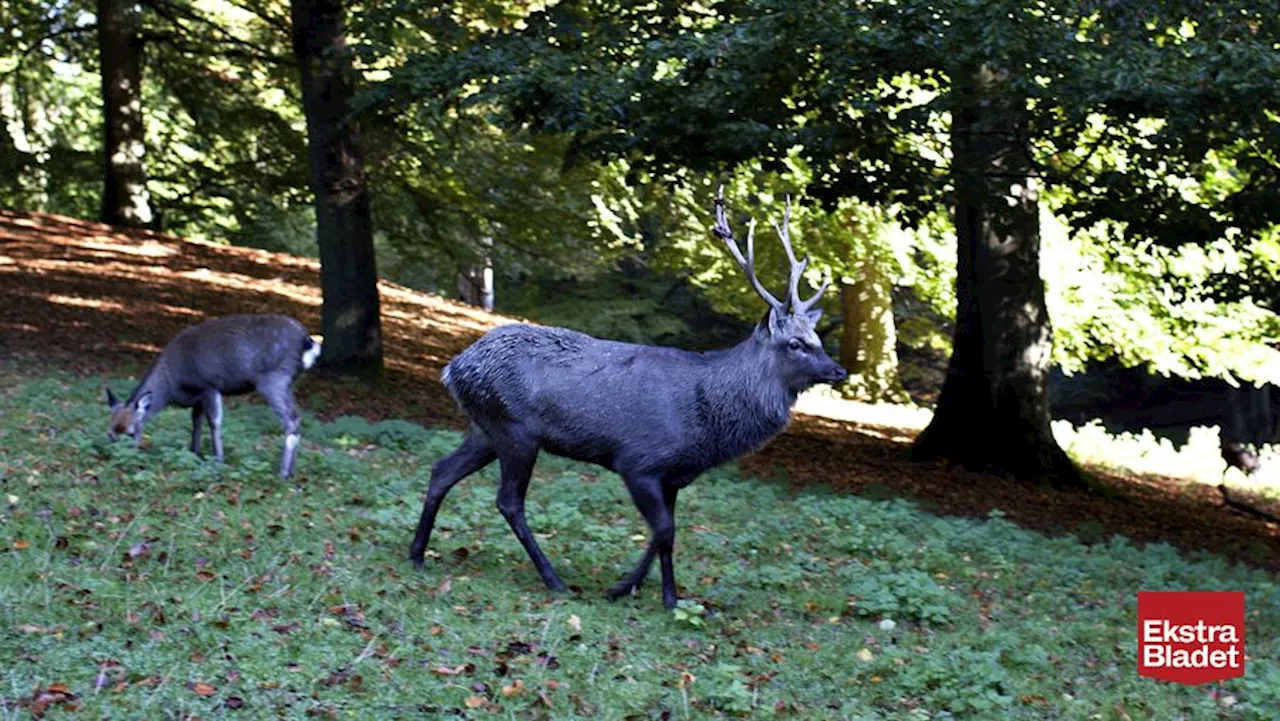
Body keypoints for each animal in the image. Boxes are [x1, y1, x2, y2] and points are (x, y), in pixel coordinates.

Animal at [106, 311, 322, 476]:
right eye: (109, 433)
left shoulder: (209, 386)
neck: (173, 385)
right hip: (288, 383)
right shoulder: (198, 397)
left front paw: (218, 460)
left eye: (131, 432)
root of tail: (307, 342)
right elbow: (196, 421)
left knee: (291, 419)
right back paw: (292, 471)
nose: (118, 458)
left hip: (273, 380)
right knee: (297, 417)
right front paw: (194, 452)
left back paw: (283, 473)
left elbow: (214, 422)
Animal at [412, 189, 849, 607]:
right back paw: (554, 580)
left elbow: (664, 534)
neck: (705, 428)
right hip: (515, 429)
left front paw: (645, 590)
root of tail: (453, 368)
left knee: (441, 470)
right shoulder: (638, 461)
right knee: (508, 501)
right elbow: (665, 530)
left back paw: (417, 554)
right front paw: (645, 593)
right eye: (796, 343)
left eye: (817, 338)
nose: (839, 371)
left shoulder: (675, 475)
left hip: (484, 427)